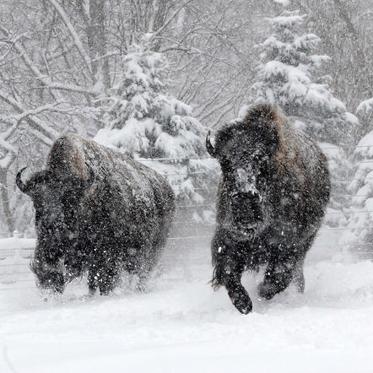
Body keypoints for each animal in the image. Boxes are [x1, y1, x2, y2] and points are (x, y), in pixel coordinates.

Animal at [15, 134, 175, 294]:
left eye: (69, 199)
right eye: (36, 202)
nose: (50, 224)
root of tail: (167, 188)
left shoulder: (107, 254)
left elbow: (104, 278)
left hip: (153, 250)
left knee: (142, 273)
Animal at [205, 103, 330, 312]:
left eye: (260, 159)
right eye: (225, 162)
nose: (245, 202)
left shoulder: (288, 244)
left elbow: (278, 276)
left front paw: (261, 292)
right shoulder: (228, 238)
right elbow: (229, 271)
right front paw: (244, 304)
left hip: (306, 242)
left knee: (295, 273)